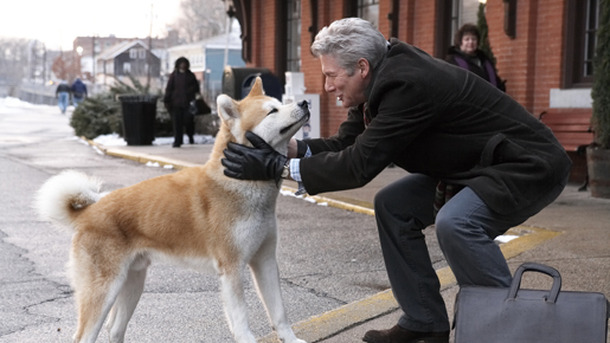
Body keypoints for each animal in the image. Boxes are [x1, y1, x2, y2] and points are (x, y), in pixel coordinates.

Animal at [35, 78, 308, 343]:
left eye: (280, 102)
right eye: (272, 111)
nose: (305, 102)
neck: (239, 182)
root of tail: (88, 212)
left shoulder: (265, 260)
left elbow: (280, 312)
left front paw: (292, 339)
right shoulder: (232, 268)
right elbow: (241, 319)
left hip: (132, 282)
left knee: (114, 329)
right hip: (104, 290)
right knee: (85, 336)